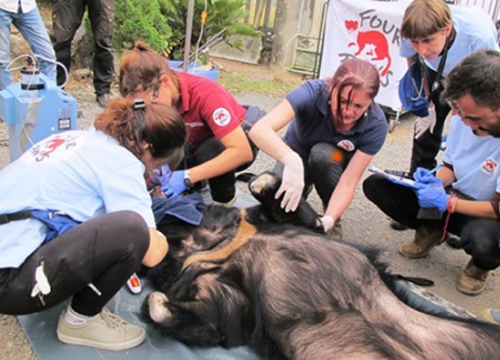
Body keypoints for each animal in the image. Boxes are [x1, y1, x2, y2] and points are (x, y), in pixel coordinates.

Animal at [143, 172, 500, 360]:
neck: (214, 241)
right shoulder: (214, 283)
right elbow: (220, 318)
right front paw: (158, 303)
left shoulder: (279, 223)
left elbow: (301, 214)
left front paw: (265, 182)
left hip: (465, 335)